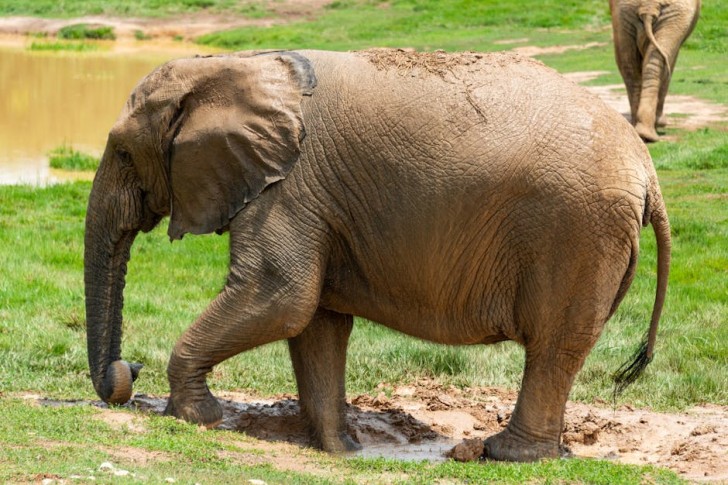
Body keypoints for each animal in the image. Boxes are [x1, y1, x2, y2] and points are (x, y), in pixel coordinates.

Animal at [84, 48, 671, 462]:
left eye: (122, 153)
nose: (127, 369)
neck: (237, 65)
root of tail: (647, 170)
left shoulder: (288, 187)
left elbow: (280, 295)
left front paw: (198, 418)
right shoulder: (314, 199)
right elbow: (315, 320)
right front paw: (338, 449)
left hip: (576, 232)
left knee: (553, 346)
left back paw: (505, 455)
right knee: (562, 348)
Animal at [610, 0, 701, 142]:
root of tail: (648, 7)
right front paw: (661, 123)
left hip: (624, 14)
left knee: (629, 65)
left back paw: (641, 132)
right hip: (676, 16)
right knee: (659, 62)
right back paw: (650, 131)